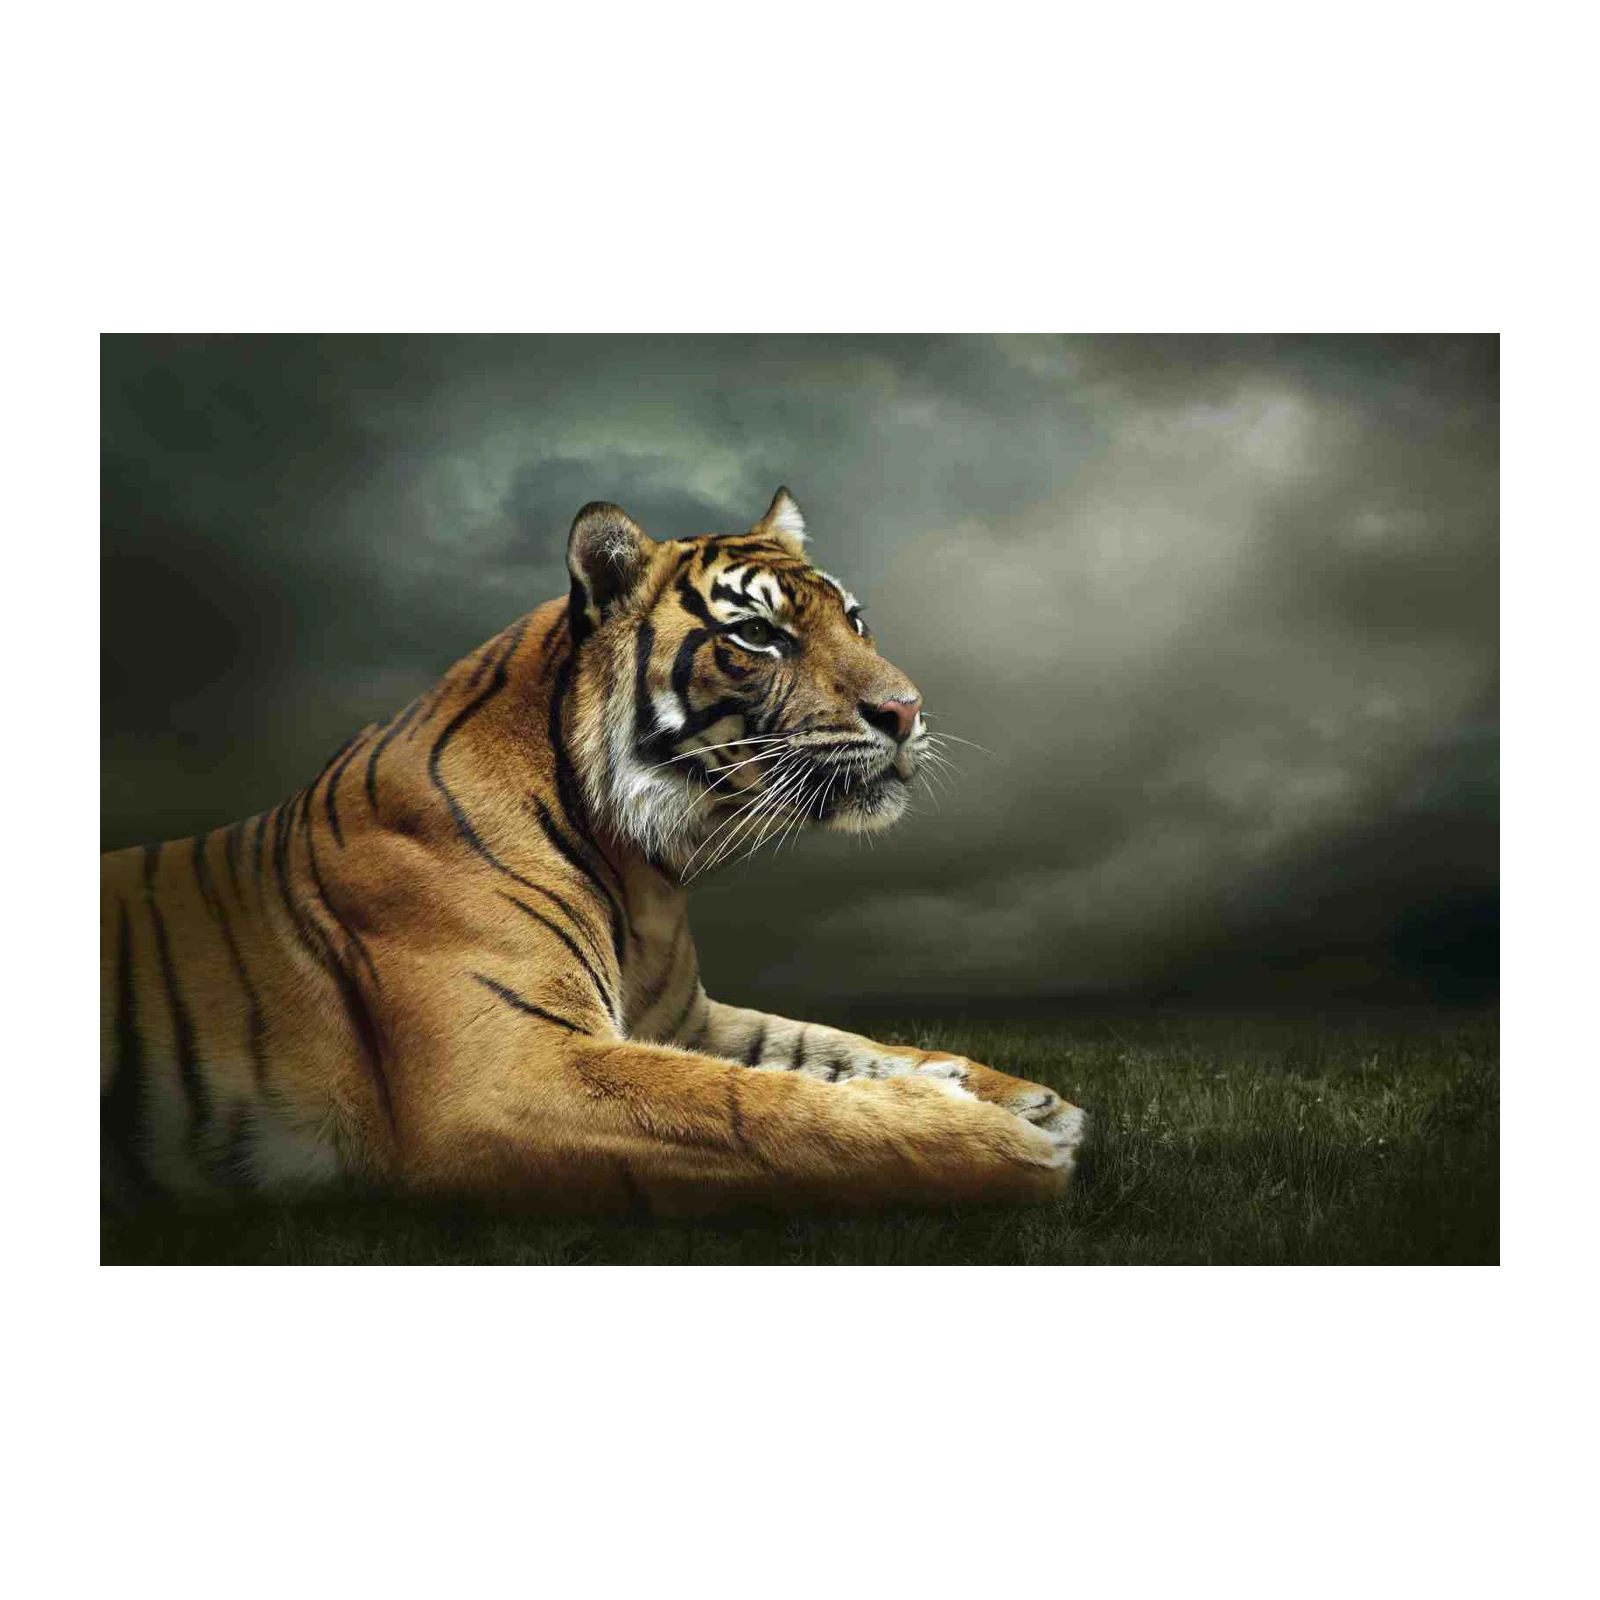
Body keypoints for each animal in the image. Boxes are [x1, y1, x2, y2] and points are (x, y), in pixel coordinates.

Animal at [97, 488, 1087, 1217]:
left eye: (856, 620)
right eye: (757, 634)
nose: (907, 711)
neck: (641, 867)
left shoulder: (681, 1020)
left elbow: (830, 1047)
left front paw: (1019, 1095)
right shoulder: (506, 1072)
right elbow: (763, 1110)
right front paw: (1003, 1141)